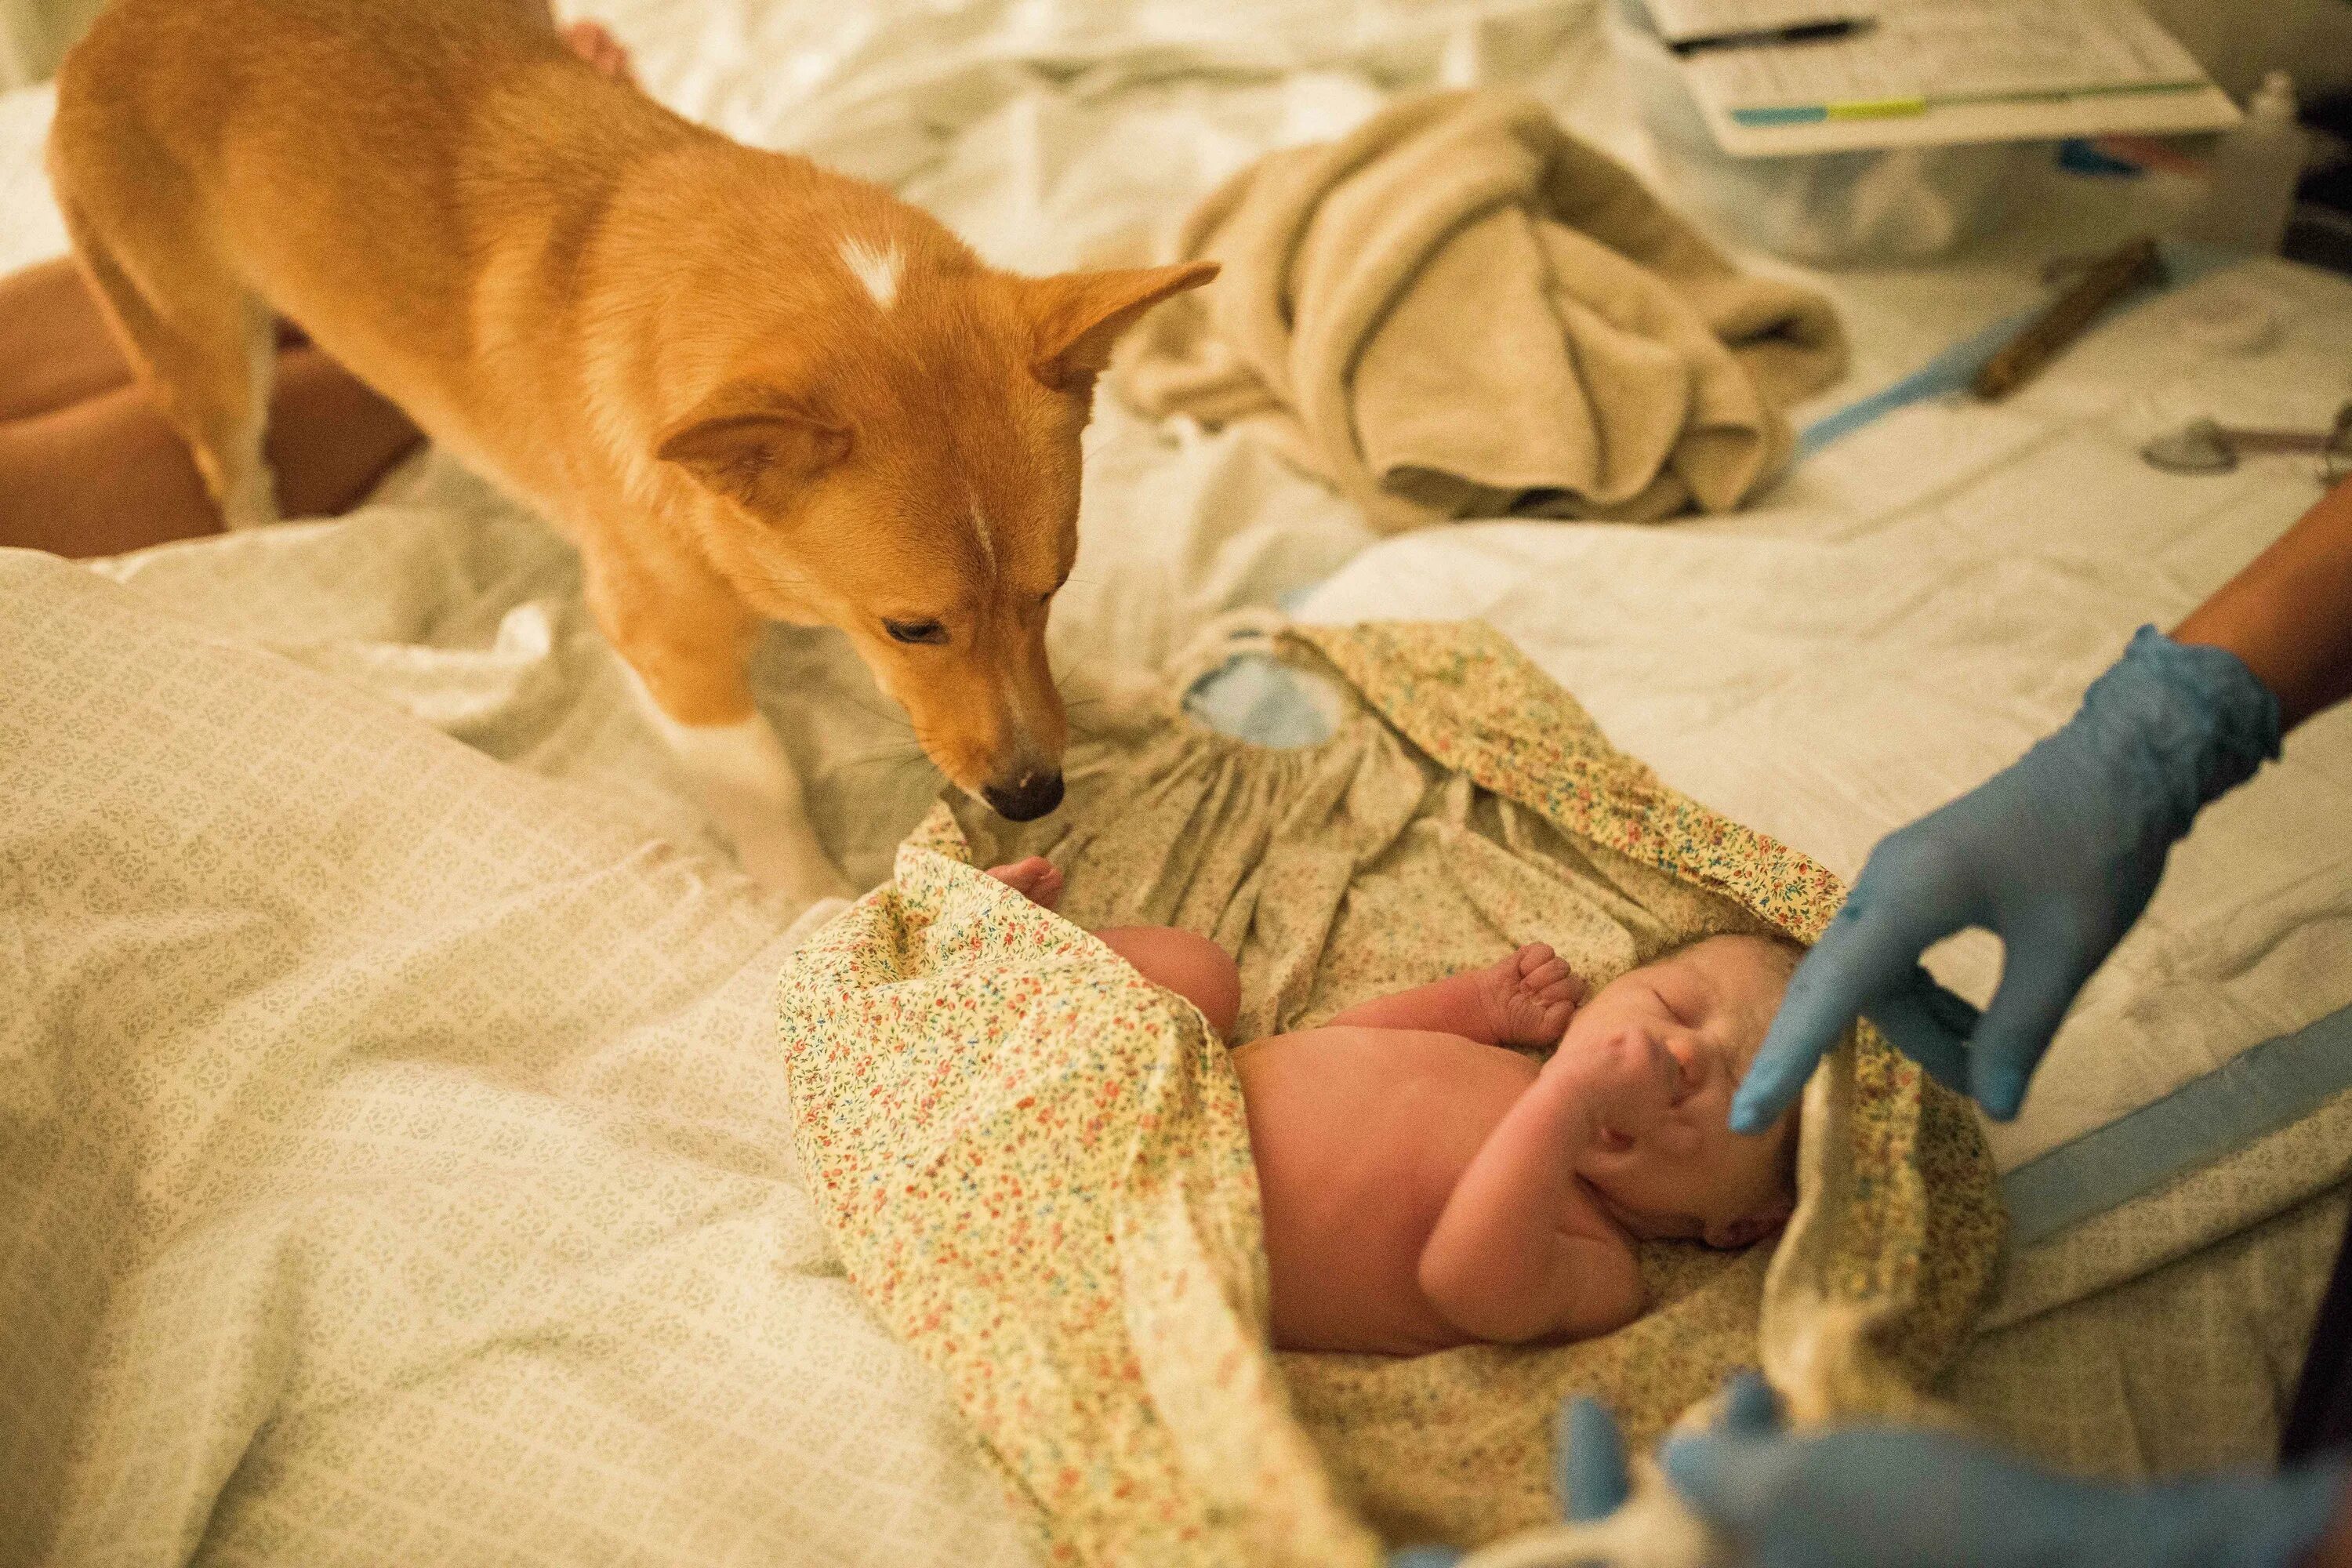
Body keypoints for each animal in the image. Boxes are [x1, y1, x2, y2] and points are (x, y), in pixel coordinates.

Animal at [45, 0, 1214, 902]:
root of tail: (110, 25)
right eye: (912, 626)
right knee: (233, 460)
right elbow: (762, 773)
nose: (1034, 793)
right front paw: (809, 901)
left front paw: (1114, 682)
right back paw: (267, 533)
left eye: (1054, 589)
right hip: (203, 343)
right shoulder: (668, 643)